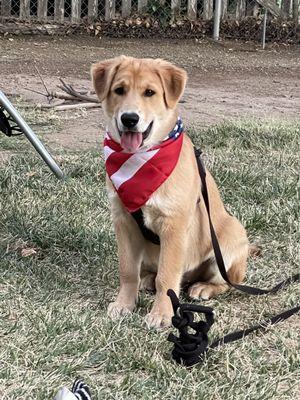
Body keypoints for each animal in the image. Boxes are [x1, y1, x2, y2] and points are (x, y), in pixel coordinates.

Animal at [91, 57, 248, 332]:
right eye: (119, 90)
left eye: (149, 92)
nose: (129, 118)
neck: (142, 159)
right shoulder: (123, 222)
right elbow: (127, 270)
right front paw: (124, 304)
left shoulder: (173, 226)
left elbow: (167, 277)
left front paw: (161, 314)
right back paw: (147, 281)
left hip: (231, 237)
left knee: (226, 282)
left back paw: (203, 287)